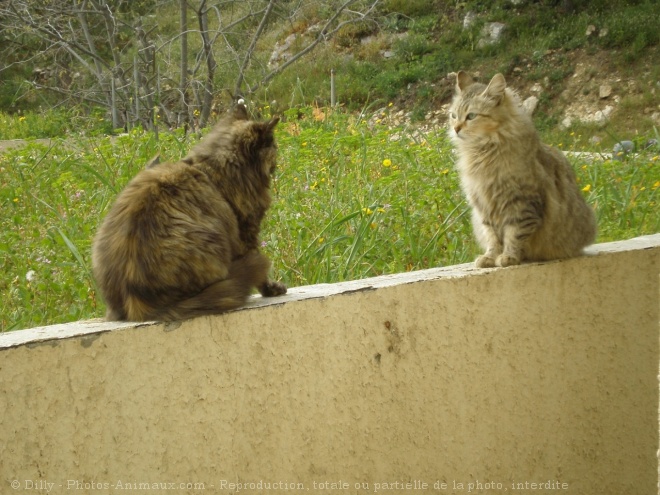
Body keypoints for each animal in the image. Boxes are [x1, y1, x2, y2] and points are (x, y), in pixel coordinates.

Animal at [91, 104, 286, 322]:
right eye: (273, 146)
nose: (278, 156)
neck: (213, 166)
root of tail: (136, 304)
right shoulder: (247, 230)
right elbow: (260, 270)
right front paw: (271, 289)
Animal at [448, 70, 600, 268]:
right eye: (453, 115)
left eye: (471, 116)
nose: (456, 128)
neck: (482, 152)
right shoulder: (484, 206)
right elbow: (492, 238)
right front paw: (489, 257)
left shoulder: (522, 204)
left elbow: (514, 234)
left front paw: (508, 257)